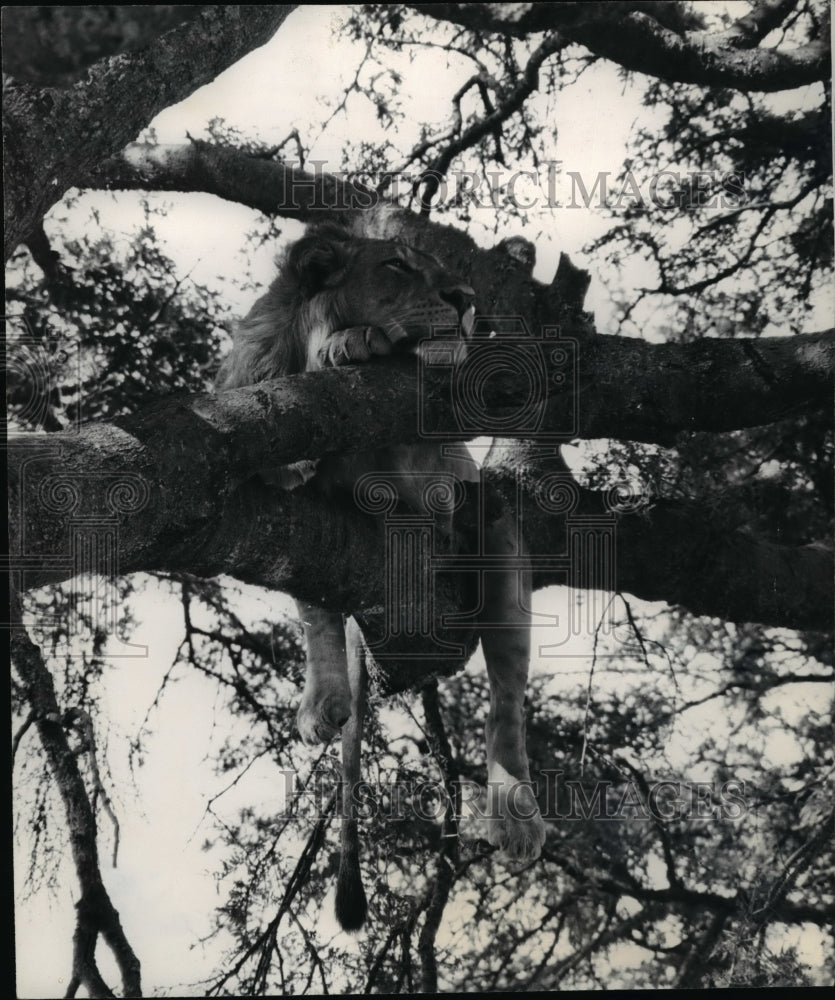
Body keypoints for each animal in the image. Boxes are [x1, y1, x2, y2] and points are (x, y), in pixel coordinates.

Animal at [216, 225, 548, 928]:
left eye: (447, 269)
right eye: (395, 265)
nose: (466, 298)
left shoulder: (422, 445)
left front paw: (355, 344)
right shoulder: (273, 456)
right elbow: (310, 602)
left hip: (497, 528)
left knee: (506, 700)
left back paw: (515, 815)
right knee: (320, 602)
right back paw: (326, 702)